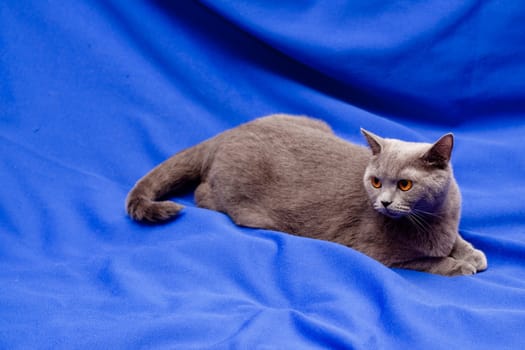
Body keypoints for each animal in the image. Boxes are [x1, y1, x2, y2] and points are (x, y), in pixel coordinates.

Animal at [125, 113, 486, 274]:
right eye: (375, 182)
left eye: (405, 185)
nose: (382, 202)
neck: (431, 219)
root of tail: (226, 133)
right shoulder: (376, 251)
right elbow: (424, 259)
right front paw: (456, 265)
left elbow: (456, 240)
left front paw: (472, 254)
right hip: (243, 206)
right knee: (203, 194)